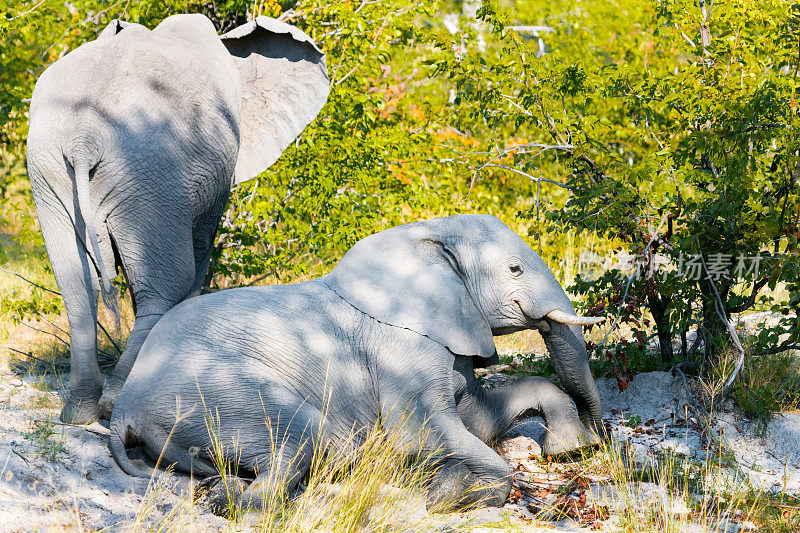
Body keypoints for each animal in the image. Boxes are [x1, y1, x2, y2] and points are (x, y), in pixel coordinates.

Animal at [27, 12, 328, 422]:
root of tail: (83, 137)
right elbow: (201, 245)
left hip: (51, 168)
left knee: (76, 284)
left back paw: (80, 412)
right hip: (153, 168)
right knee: (168, 282)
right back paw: (113, 404)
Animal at [109, 213, 604, 512]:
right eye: (515, 270)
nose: (599, 440)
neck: (427, 234)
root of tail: (123, 410)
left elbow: (477, 418)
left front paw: (566, 448)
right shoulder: (399, 347)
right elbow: (421, 432)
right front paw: (447, 498)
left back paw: (218, 490)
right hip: (214, 392)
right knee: (307, 438)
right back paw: (240, 504)